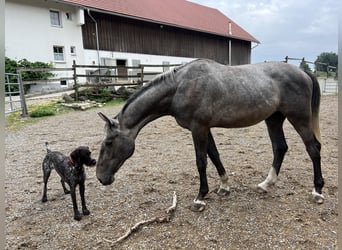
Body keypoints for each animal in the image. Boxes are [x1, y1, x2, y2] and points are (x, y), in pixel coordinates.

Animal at [95, 59, 324, 212]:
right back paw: (266, 184)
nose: (100, 177)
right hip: (274, 119)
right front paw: (224, 187)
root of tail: (303, 72)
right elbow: (214, 156)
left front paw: (200, 198)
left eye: (109, 142)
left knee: (313, 148)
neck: (180, 86)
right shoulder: (205, 128)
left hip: (299, 118)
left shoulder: (198, 128)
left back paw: (317, 191)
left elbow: (201, 161)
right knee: (280, 148)